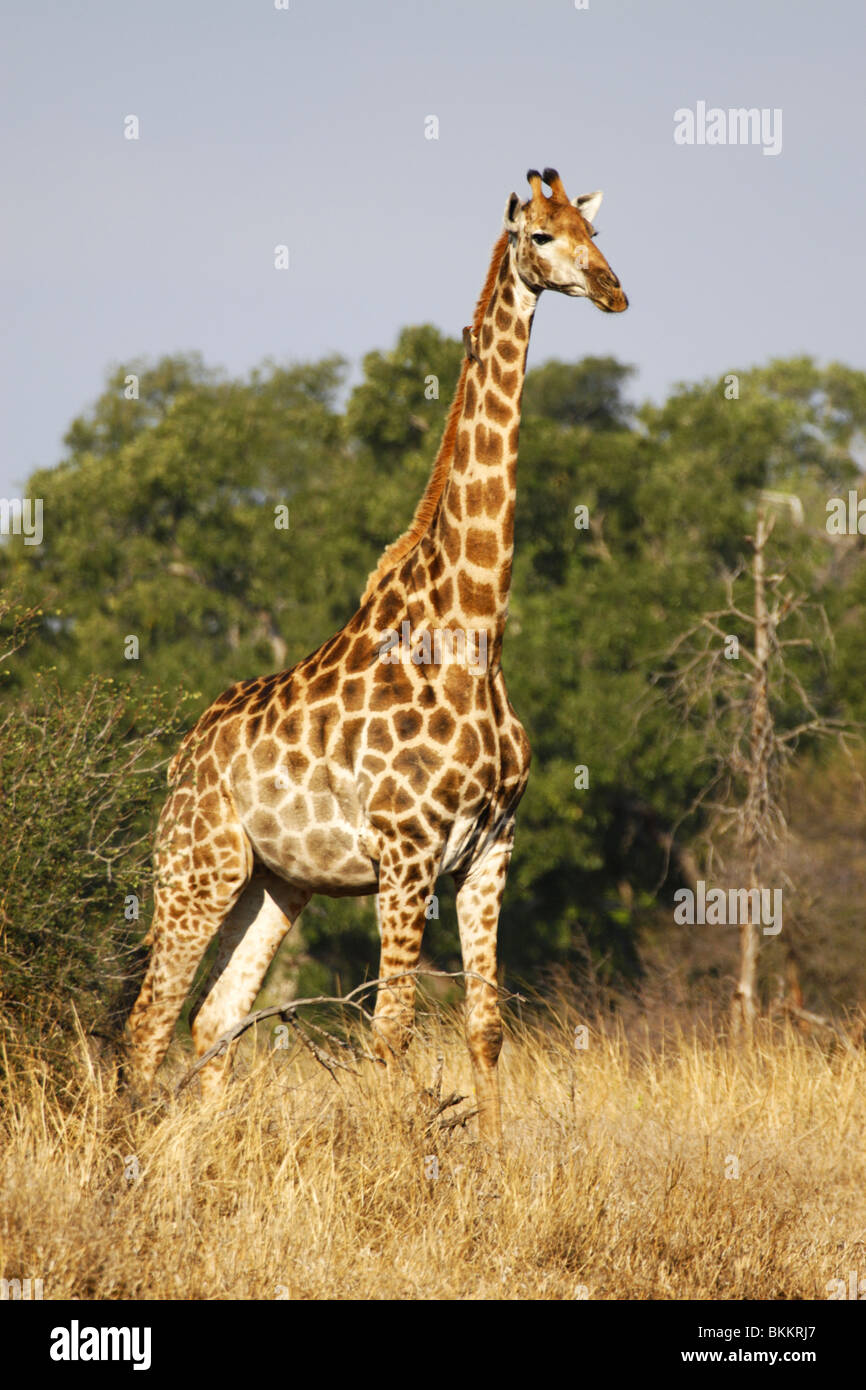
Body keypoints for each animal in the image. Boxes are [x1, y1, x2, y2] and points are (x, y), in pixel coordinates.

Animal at [125, 167, 627, 1146]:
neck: (475, 628)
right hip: (195, 865)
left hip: (274, 883)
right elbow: (390, 1031)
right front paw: (403, 1166)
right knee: (148, 1021)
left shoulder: (490, 850)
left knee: (214, 1018)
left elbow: (484, 1027)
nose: (614, 290)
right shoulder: (406, 856)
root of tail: (183, 754)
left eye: (596, 231)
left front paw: (494, 1170)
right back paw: (118, 1162)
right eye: (541, 236)